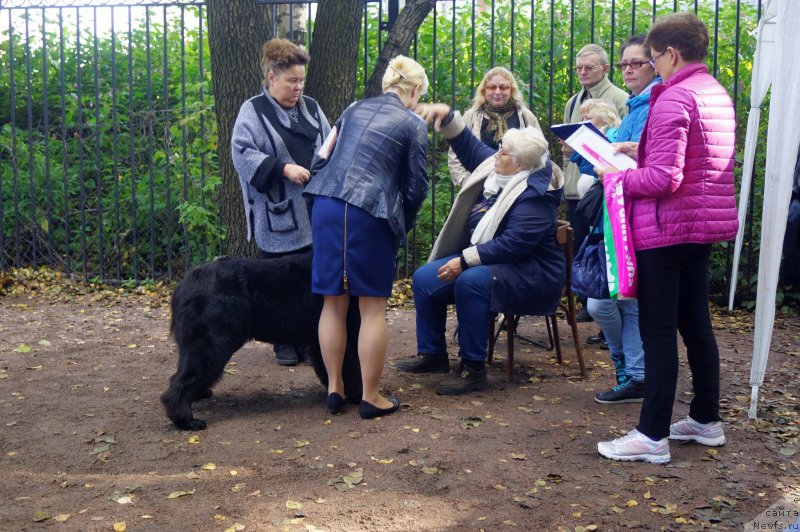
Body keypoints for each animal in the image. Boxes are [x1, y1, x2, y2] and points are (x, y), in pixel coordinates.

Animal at [161, 251, 360, 430]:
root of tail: (184, 285)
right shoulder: (346, 335)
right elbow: (349, 369)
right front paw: (354, 396)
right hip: (211, 346)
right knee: (180, 383)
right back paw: (186, 421)